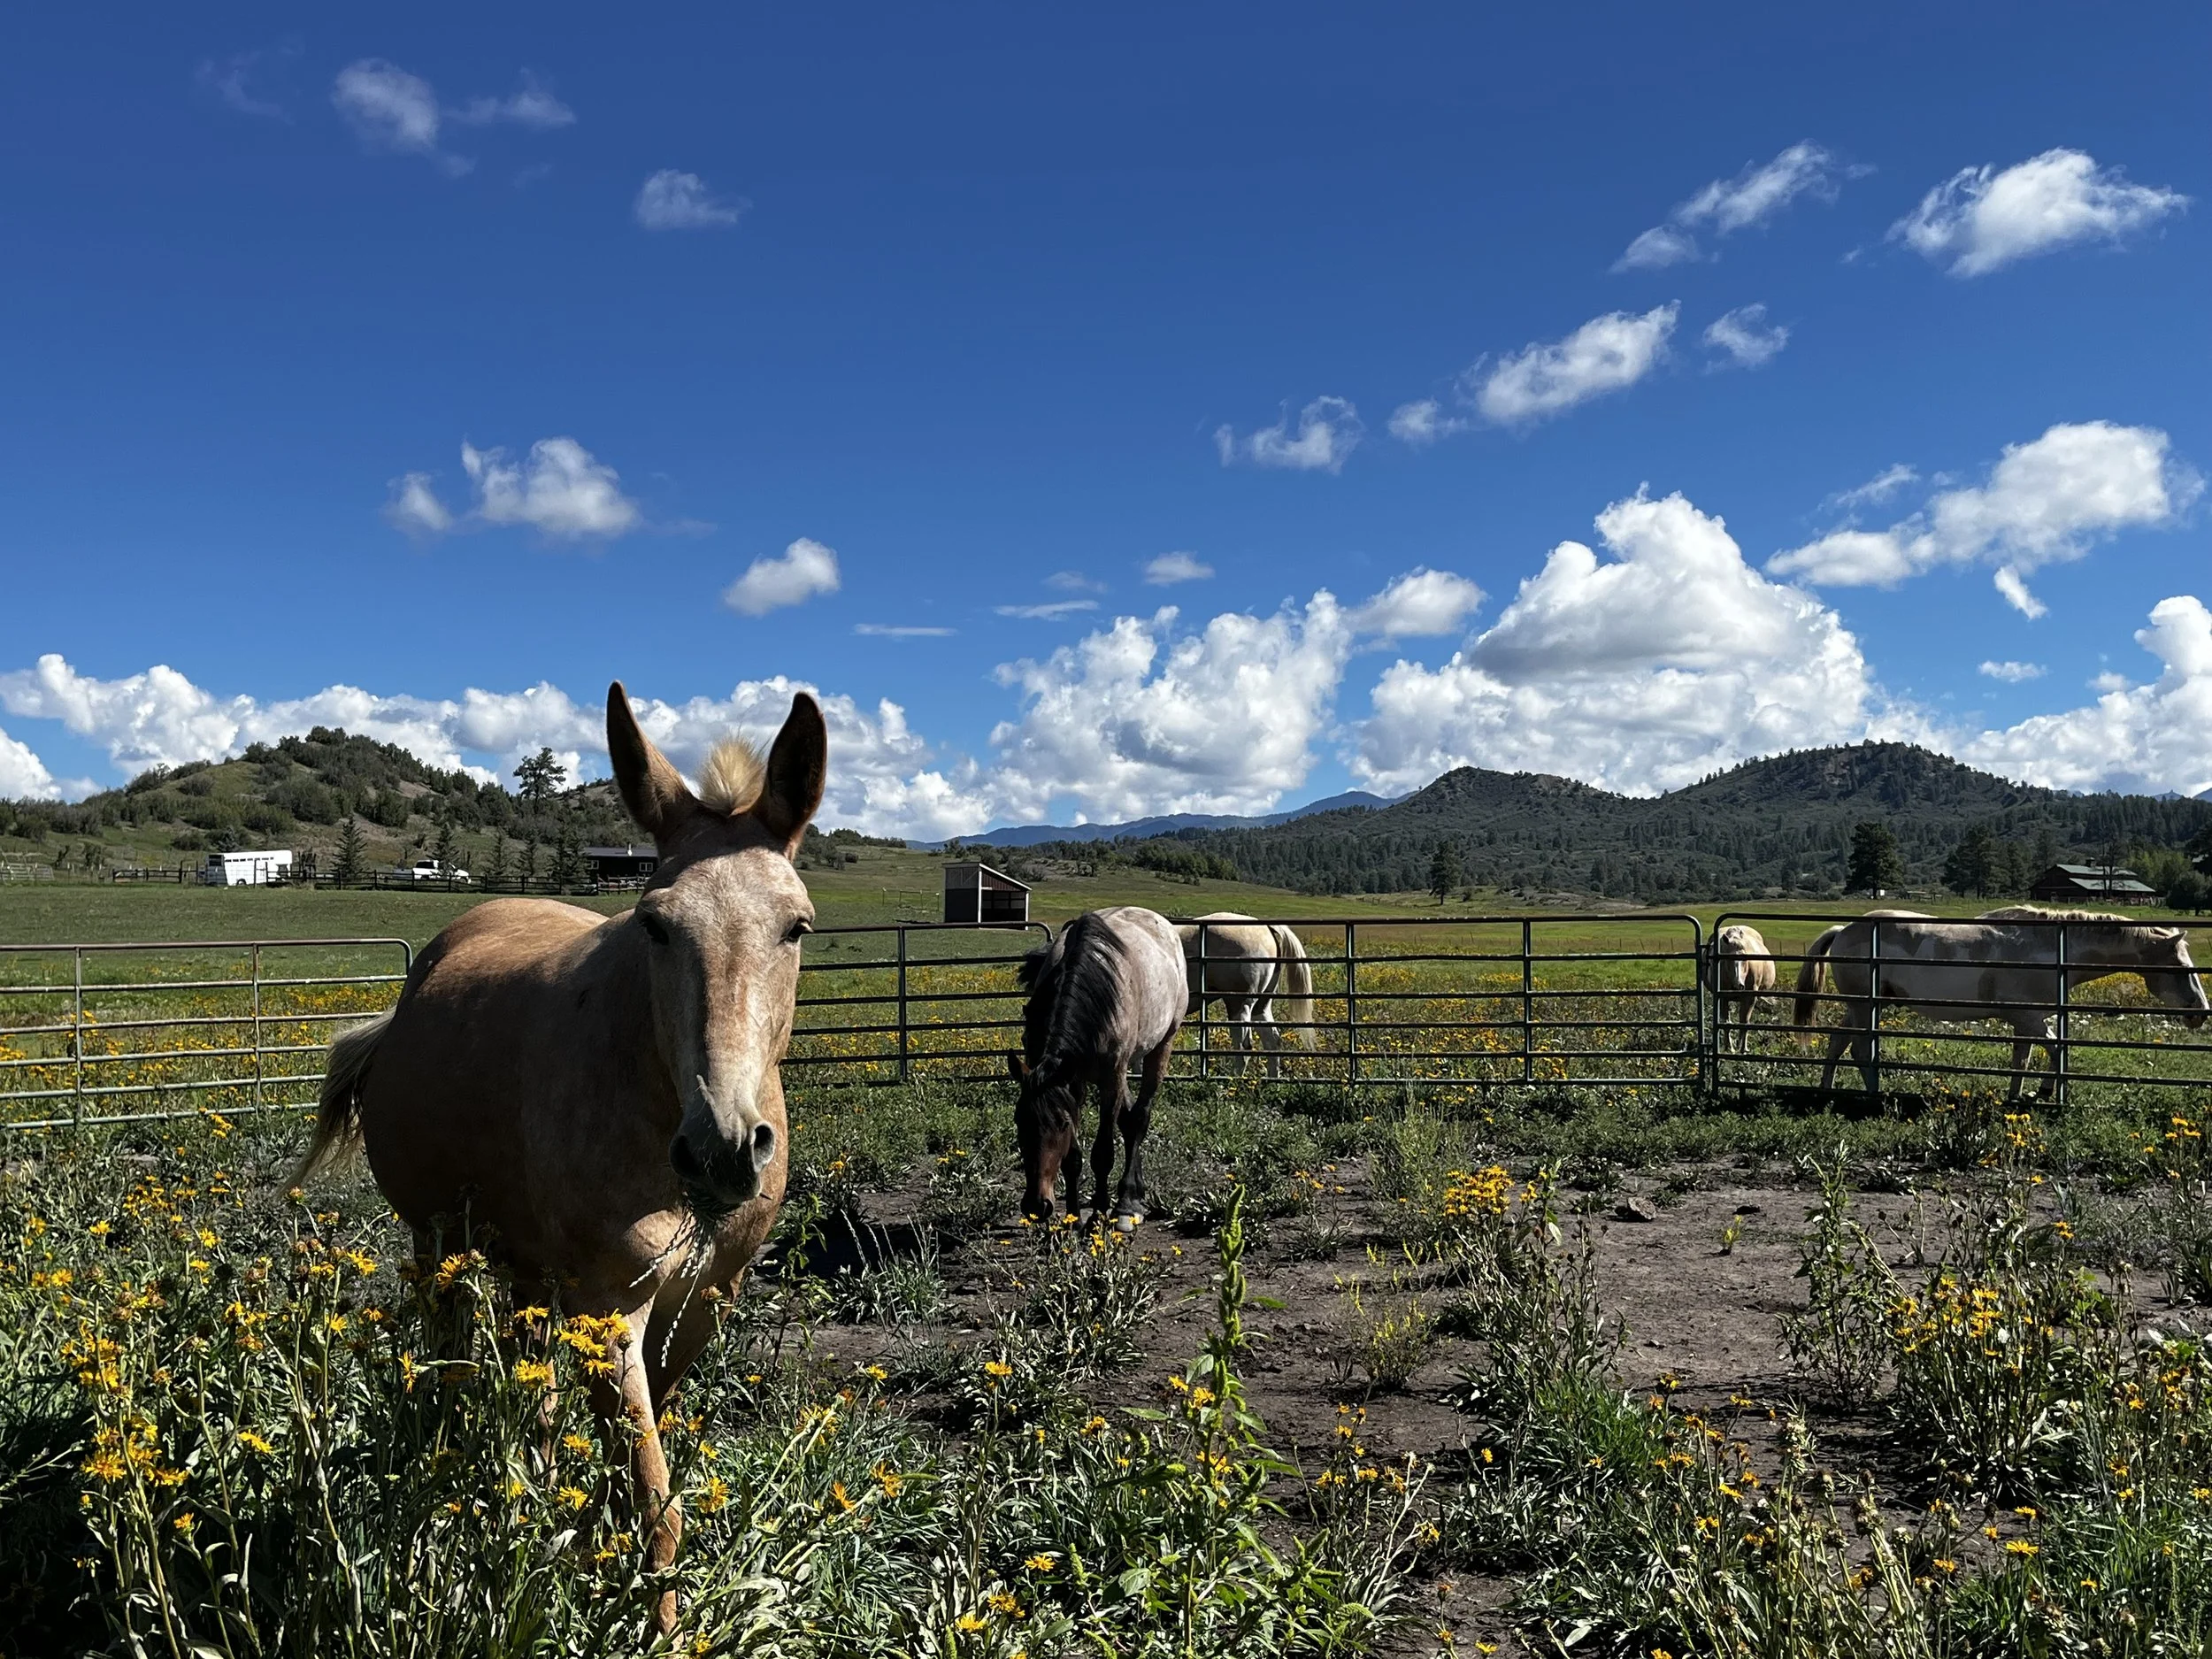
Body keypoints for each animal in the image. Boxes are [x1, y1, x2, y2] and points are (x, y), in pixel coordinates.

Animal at [291, 680, 825, 1633]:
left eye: (795, 926)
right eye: (655, 925)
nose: (723, 1148)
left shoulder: (702, 1304)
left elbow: (636, 1476)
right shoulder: (608, 1309)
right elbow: (653, 1503)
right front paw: (654, 1628)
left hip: (532, 1274)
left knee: (533, 1397)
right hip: (444, 1247)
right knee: (458, 1369)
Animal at [1007, 906, 1187, 1227]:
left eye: (1061, 1124)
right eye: (1020, 1121)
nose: (1037, 1205)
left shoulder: (1110, 1076)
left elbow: (1102, 1153)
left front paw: (1097, 1217)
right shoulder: (1074, 1080)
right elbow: (1073, 1157)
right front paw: (1073, 1218)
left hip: (1160, 1047)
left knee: (1138, 1118)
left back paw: (1127, 1204)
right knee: (1128, 1121)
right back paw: (1133, 1197)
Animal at [1710, 923, 1777, 1052]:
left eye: (1745, 958)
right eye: (1728, 959)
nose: (1739, 985)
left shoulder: (1750, 998)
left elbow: (1744, 1022)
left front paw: (1742, 1048)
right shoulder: (1722, 998)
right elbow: (1726, 1022)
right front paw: (1730, 1047)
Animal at [1791, 905, 2208, 1099]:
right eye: (2181, 968)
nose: (2199, 1014)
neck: (2050, 950)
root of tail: (1844, 929)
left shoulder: (2028, 1021)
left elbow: (2026, 1058)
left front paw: (2024, 1094)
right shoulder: (2029, 1019)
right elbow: (2052, 1049)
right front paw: (2043, 1092)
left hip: (1862, 1006)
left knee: (1838, 1042)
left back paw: (1828, 1088)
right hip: (1865, 1006)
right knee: (1860, 1049)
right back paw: (1874, 1091)